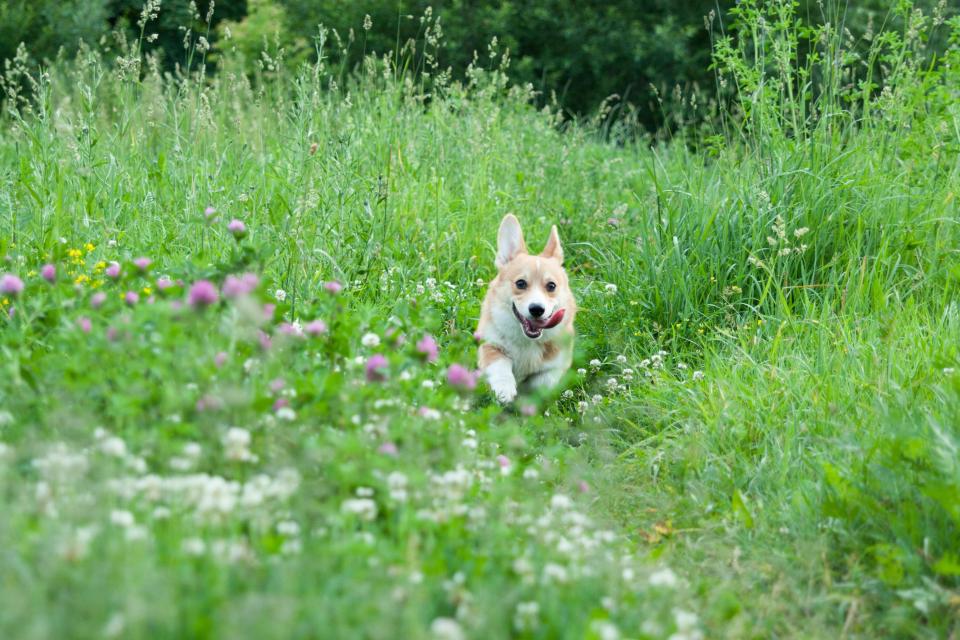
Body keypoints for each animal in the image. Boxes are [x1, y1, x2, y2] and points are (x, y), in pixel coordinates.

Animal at [474, 218, 572, 402]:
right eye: (520, 283)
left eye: (551, 286)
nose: (537, 309)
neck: (527, 340)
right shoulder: (490, 345)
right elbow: (500, 365)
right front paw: (504, 389)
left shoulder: (556, 365)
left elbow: (542, 382)